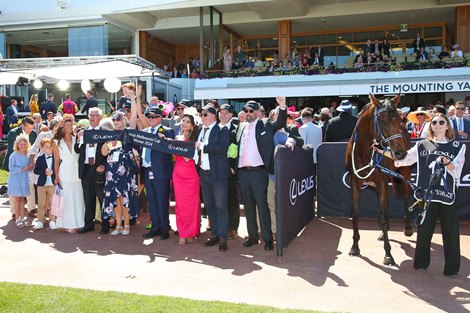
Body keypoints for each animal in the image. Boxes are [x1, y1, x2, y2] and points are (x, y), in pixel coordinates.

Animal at [344, 94, 414, 264]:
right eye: (383, 121)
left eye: (399, 120)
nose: (400, 153)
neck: (363, 150)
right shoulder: (355, 182)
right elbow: (355, 212)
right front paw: (355, 246)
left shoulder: (381, 183)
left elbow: (382, 217)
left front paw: (388, 254)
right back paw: (383, 233)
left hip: (404, 173)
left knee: (406, 195)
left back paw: (408, 227)